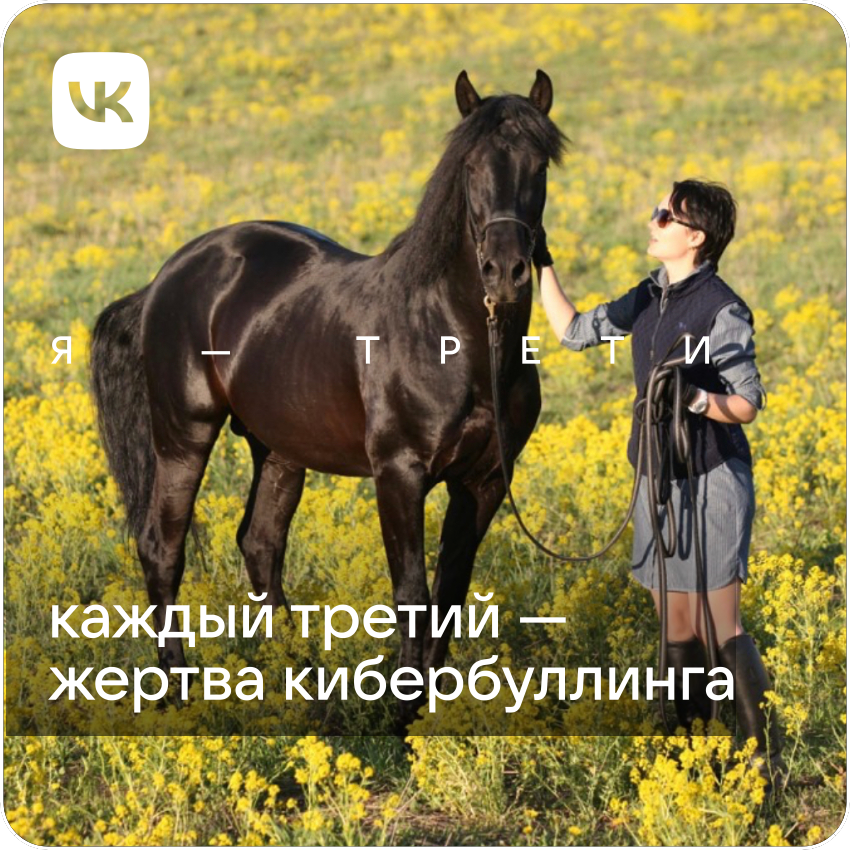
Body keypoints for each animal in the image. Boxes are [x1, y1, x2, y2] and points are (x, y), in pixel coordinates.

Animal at [90, 70, 567, 721]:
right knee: (162, 547)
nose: (506, 271)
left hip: (279, 449)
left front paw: (426, 711)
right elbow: (412, 591)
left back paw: (303, 685)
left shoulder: (487, 479)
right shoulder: (398, 474)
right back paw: (182, 691)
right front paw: (400, 713)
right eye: (469, 166)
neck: (458, 338)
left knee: (260, 545)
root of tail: (167, 276)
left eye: (539, 166)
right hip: (182, 436)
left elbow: (449, 593)